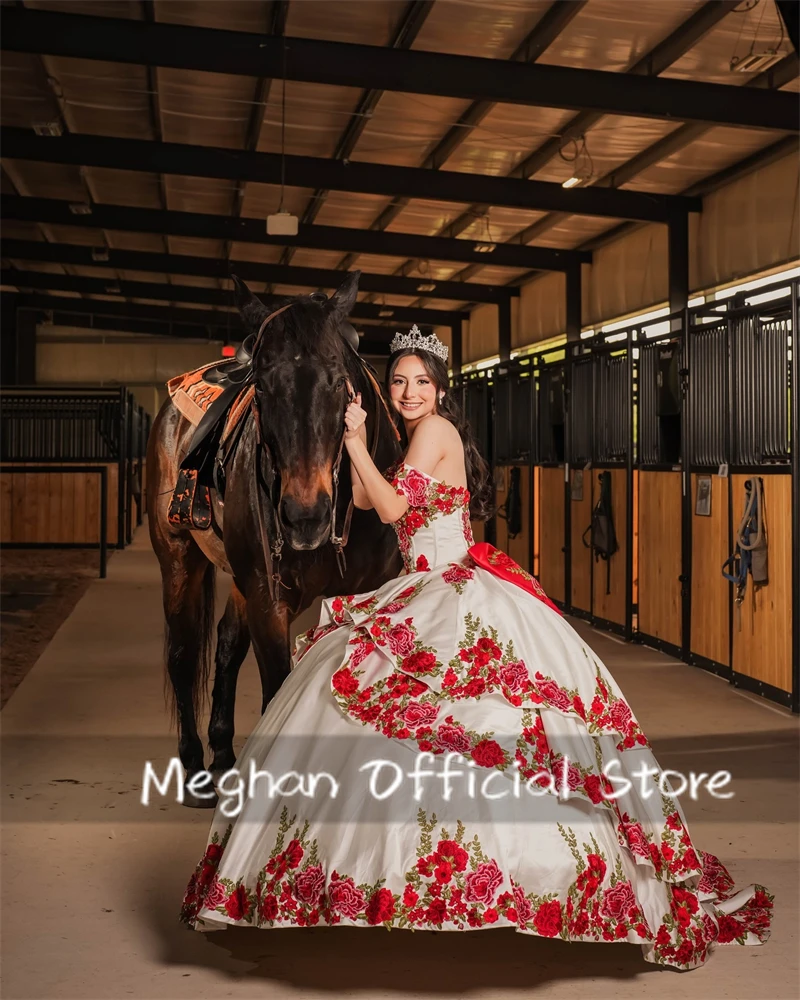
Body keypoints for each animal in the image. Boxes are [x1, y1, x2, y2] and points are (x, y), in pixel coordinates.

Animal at [145, 274, 400, 804]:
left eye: (338, 382)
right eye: (261, 386)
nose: (305, 516)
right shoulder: (269, 598)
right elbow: (277, 693)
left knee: (225, 645)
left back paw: (224, 754)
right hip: (180, 559)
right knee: (183, 654)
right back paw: (195, 768)